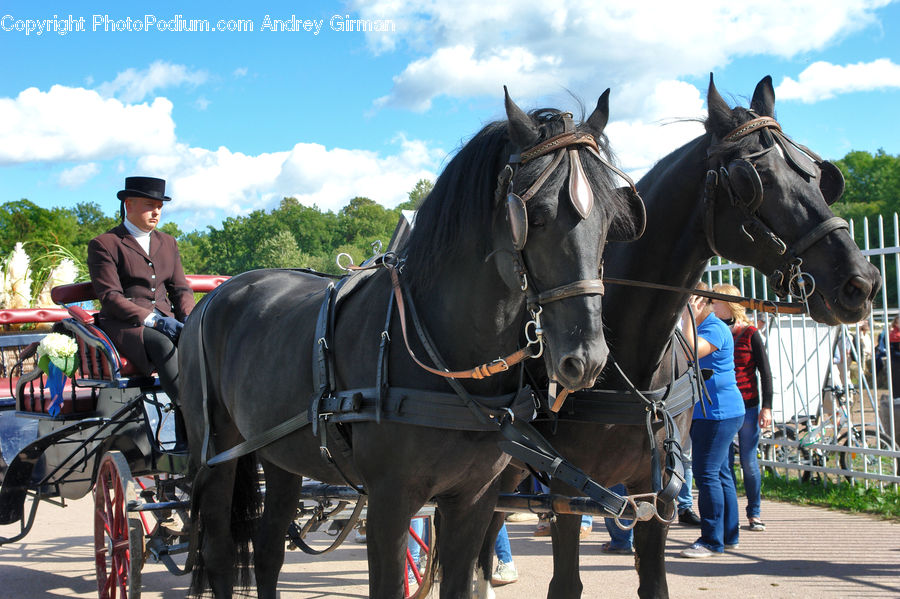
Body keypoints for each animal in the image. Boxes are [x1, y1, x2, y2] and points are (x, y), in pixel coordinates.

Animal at [178, 90, 648, 599]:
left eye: (610, 220)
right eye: (535, 217)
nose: (587, 358)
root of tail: (214, 296)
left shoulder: (473, 501)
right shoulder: (389, 503)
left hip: (280, 455)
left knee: (267, 552)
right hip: (215, 455)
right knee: (220, 554)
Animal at [474, 76, 884, 599]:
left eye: (817, 175)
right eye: (755, 179)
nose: (861, 282)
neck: (630, 360)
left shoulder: (655, 497)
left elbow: (655, 581)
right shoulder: (566, 491)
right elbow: (565, 583)